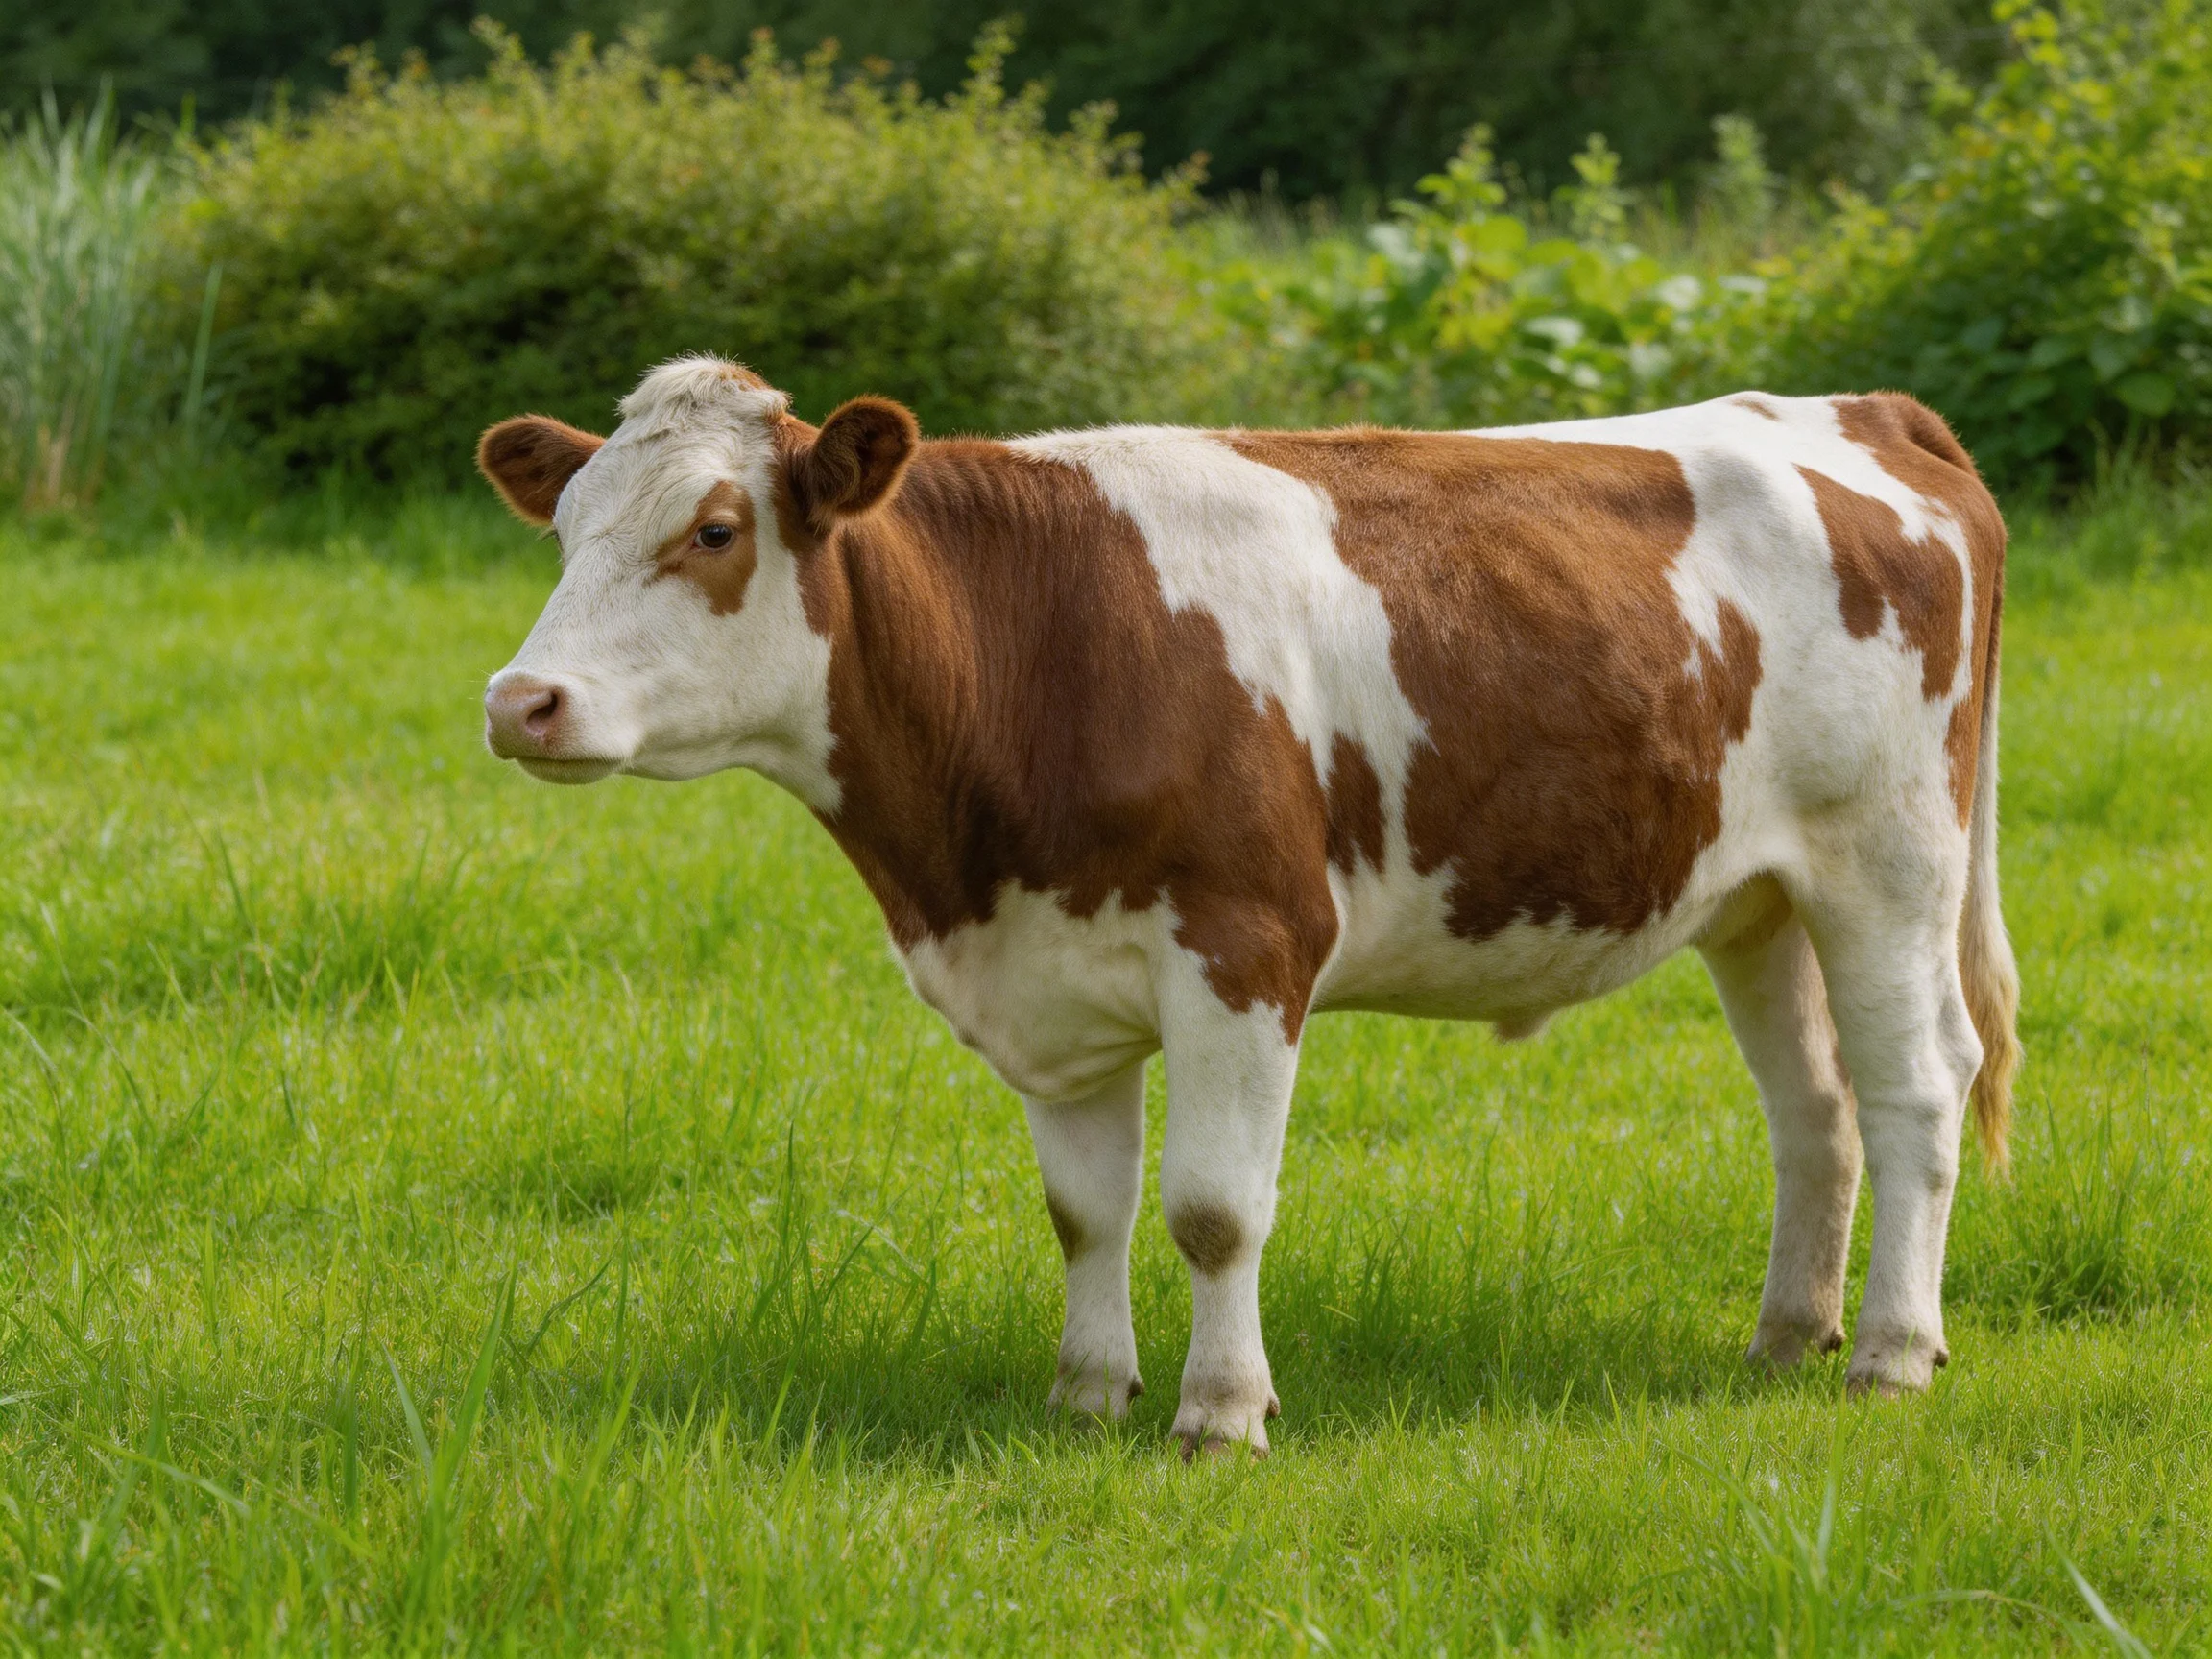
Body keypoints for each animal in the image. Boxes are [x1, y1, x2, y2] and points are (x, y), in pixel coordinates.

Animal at [477, 357, 2020, 1456]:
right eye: (563, 531)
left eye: (715, 528)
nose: (519, 700)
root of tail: (1857, 411)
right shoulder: (1051, 978)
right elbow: (1084, 1212)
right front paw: (1086, 1395)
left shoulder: (1246, 946)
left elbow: (1214, 1209)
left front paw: (1220, 1415)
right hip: (1757, 897)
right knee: (1816, 1106)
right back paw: (1789, 1336)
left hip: (1890, 859)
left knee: (1917, 1087)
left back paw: (1893, 1353)